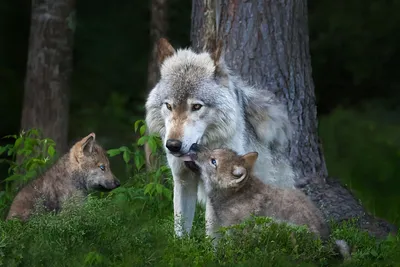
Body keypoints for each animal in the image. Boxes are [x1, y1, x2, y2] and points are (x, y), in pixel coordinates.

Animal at [145, 37, 296, 239]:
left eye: (196, 107)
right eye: (169, 106)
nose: (173, 145)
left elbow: (212, 234)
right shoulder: (183, 180)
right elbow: (180, 231)